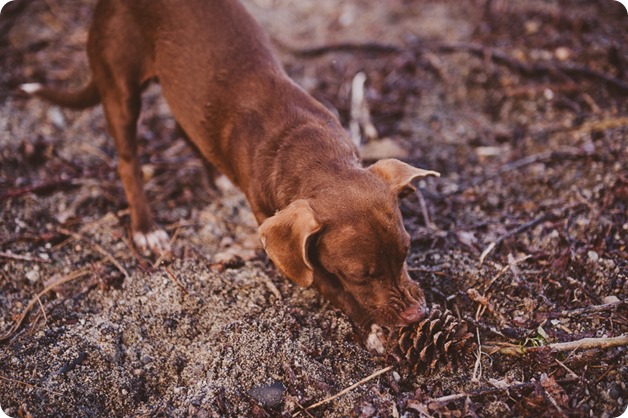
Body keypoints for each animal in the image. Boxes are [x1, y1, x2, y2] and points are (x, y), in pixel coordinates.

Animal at [22, 0, 440, 328]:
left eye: (407, 252)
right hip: (120, 88)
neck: (309, 150)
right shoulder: (285, 247)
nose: (417, 314)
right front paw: (373, 331)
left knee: (186, 127)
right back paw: (146, 228)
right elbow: (328, 285)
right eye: (361, 275)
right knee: (128, 161)